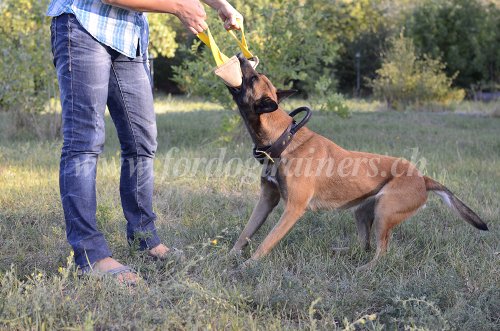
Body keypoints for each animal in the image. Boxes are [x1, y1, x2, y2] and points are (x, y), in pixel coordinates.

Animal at [227, 53, 488, 270]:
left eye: (253, 78)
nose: (240, 55)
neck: (284, 139)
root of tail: (422, 178)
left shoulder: (293, 208)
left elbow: (266, 241)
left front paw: (247, 266)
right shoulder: (266, 200)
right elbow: (245, 233)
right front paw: (229, 256)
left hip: (384, 211)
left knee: (382, 252)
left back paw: (364, 270)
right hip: (362, 212)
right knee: (365, 246)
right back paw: (341, 252)